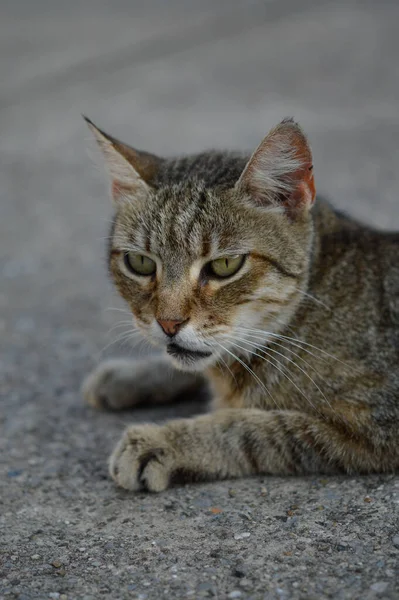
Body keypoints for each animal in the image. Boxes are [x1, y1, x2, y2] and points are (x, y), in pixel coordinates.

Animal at [82, 115, 399, 490]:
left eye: (224, 266)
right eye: (140, 263)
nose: (168, 323)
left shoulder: (371, 425)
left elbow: (249, 428)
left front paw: (165, 441)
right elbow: (191, 366)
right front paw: (130, 376)